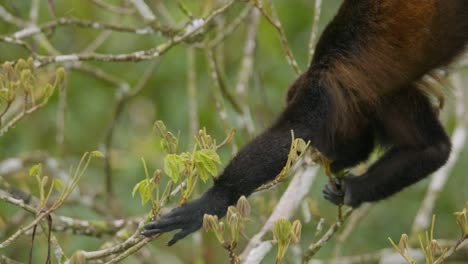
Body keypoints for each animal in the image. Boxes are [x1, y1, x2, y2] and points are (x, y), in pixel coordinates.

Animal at [142, 0, 468, 245]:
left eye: (323, 142)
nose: (323, 156)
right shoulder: (385, 98)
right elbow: (432, 149)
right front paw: (353, 191)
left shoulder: (319, 92)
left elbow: (289, 132)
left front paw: (211, 202)